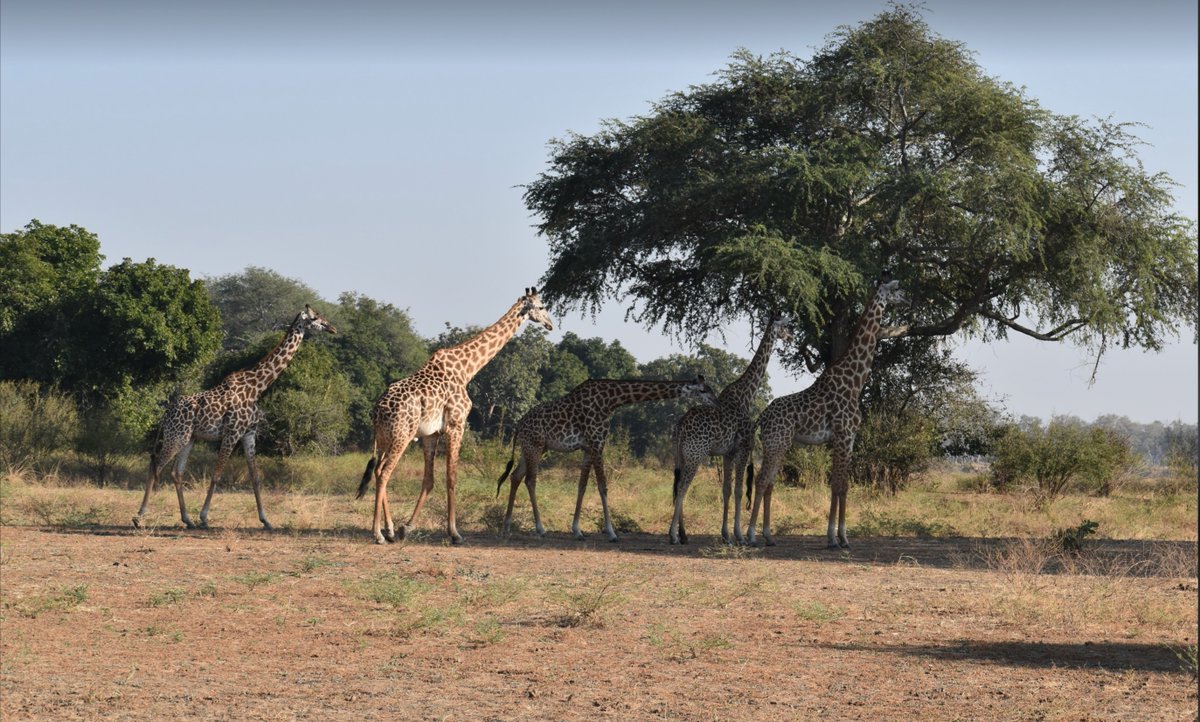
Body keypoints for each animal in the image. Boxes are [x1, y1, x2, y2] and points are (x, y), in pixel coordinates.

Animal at [132, 305, 337, 530]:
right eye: (315, 318)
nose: (333, 328)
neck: (257, 388)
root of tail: (166, 414)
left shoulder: (248, 433)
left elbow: (255, 476)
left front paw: (266, 520)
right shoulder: (232, 432)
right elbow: (216, 474)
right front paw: (204, 517)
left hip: (188, 438)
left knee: (176, 472)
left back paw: (187, 520)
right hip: (175, 436)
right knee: (156, 465)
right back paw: (139, 517)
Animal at [356, 288, 553, 545]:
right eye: (541, 307)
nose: (550, 324)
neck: (466, 369)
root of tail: (378, 410)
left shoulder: (430, 434)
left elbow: (429, 480)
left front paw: (406, 528)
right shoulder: (456, 425)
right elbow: (452, 478)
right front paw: (455, 533)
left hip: (384, 439)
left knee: (379, 471)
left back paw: (389, 530)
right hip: (402, 436)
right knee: (383, 473)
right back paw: (378, 534)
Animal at [496, 376, 717, 542]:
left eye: (710, 388)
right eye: (703, 390)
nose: (716, 401)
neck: (611, 400)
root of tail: (518, 426)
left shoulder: (588, 448)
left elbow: (582, 486)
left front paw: (577, 530)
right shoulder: (596, 444)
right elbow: (603, 486)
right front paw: (611, 533)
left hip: (532, 448)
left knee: (515, 476)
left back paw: (507, 526)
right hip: (534, 446)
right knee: (530, 480)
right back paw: (540, 528)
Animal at [667, 315, 792, 545]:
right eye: (785, 326)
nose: (791, 336)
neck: (747, 394)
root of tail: (680, 428)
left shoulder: (727, 453)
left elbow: (726, 490)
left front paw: (726, 535)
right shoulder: (743, 448)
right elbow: (739, 490)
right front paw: (739, 535)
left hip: (679, 454)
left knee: (678, 484)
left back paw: (684, 534)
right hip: (695, 454)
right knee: (683, 487)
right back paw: (673, 535)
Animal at [747, 276, 908, 548]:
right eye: (895, 289)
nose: (907, 299)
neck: (855, 381)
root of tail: (761, 417)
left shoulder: (849, 437)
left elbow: (844, 485)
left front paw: (842, 536)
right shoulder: (842, 435)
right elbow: (837, 485)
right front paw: (834, 538)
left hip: (778, 445)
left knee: (769, 483)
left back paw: (767, 536)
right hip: (776, 443)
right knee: (762, 481)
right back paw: (750, 536)